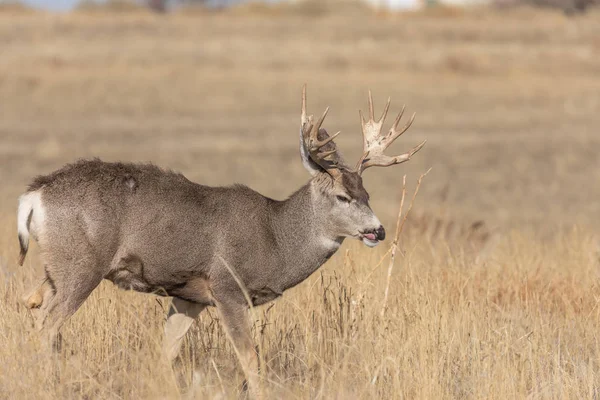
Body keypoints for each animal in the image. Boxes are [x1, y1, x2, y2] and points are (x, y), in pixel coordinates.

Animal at [16, 86, 424, 396]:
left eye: (367, 194)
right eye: (342, 196)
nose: (378, 231)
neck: (275, 238)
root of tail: (34, 195)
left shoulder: (189, 296)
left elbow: (166, 352)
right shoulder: (228, 287)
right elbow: (251, 359)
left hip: (57, 266)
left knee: (32, 303)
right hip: (81, 265)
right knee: (48, 324)